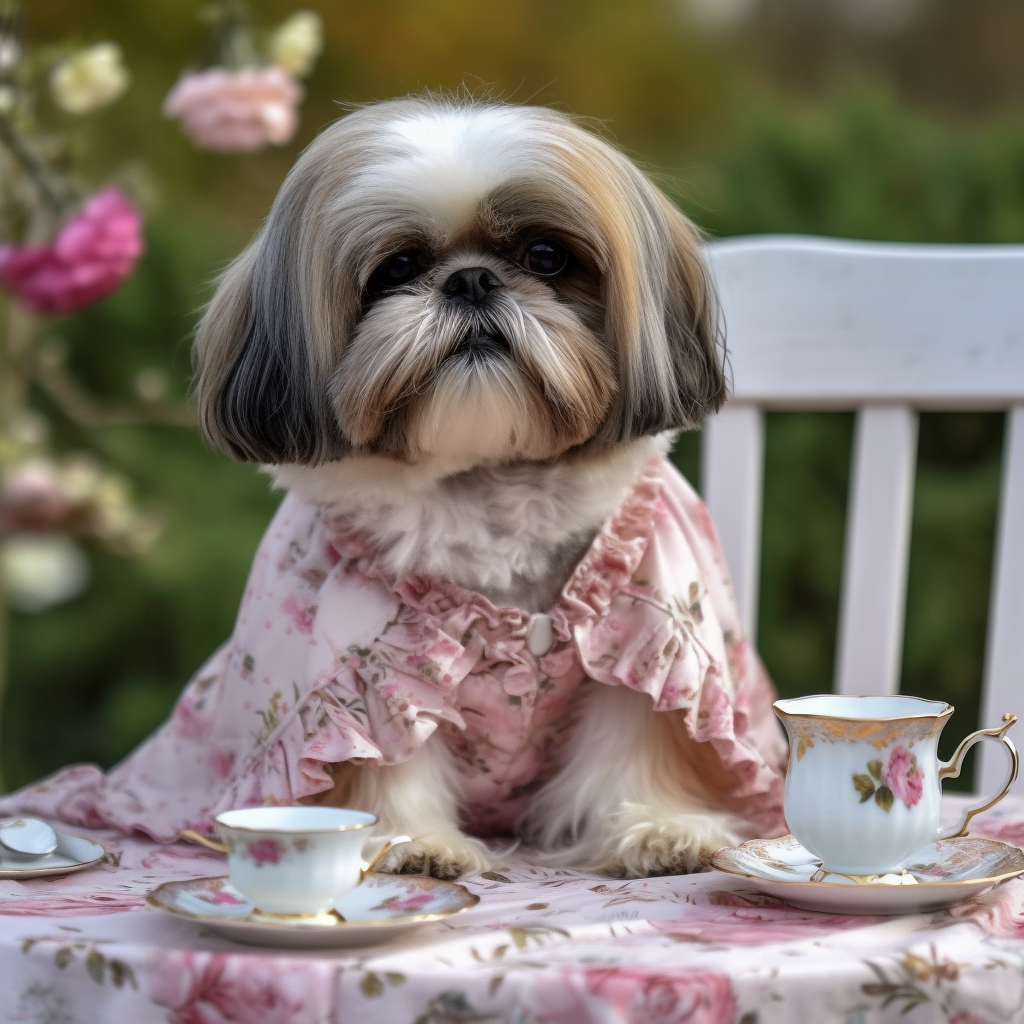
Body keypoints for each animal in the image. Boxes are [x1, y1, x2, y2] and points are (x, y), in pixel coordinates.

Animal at [14, 97, 782, 880]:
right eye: (398, 267)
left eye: (545, 256)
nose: (471, 280)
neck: (483, 479)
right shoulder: (365, 673)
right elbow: (383, 758)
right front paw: (412, 842)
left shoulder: (649, 625)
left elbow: (640, 733)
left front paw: (657, 827)